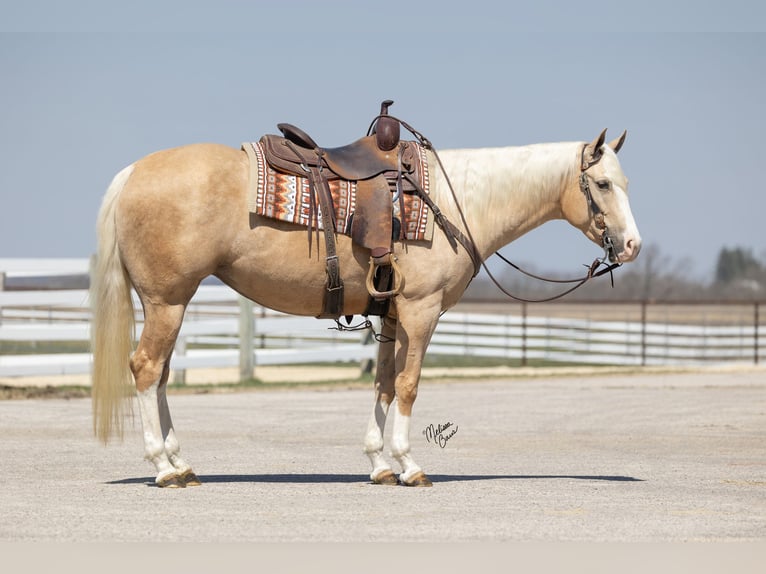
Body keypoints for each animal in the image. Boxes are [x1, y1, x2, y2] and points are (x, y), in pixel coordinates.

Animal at [88, 127, 640, 490]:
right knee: (146, 369)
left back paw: (181, 464)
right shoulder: (420, 311)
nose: (632, 245)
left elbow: (383, 385)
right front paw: (409, 465)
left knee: (160, 376)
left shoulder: (391, 315)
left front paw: (379, 464)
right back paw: (163, 468)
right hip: (167, 301)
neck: (454, 202)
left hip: (170, 303)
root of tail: (132, 172)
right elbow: (409, 385)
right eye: (603, 184)